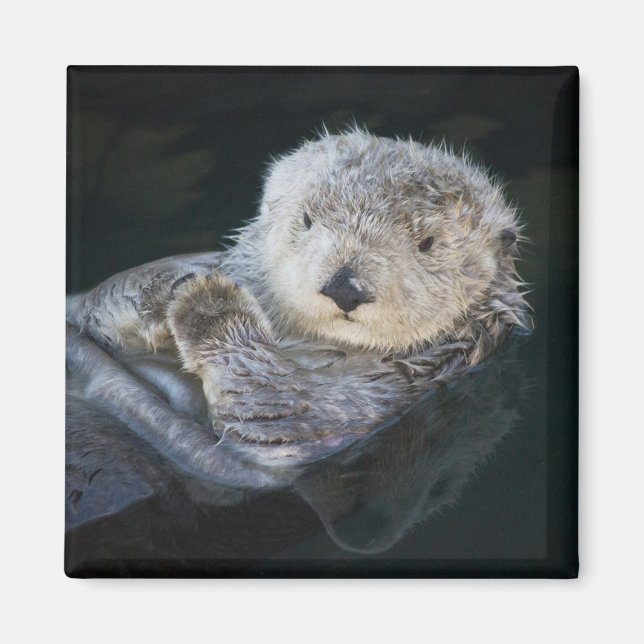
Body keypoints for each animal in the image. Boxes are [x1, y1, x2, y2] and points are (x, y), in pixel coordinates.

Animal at [66, 128, 531, 466]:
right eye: (307, 219)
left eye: (428, 243)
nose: (345, 286)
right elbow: (96, 307)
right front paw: (169, 289)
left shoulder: (374, 400)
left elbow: (279, 409)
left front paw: (209, 304)